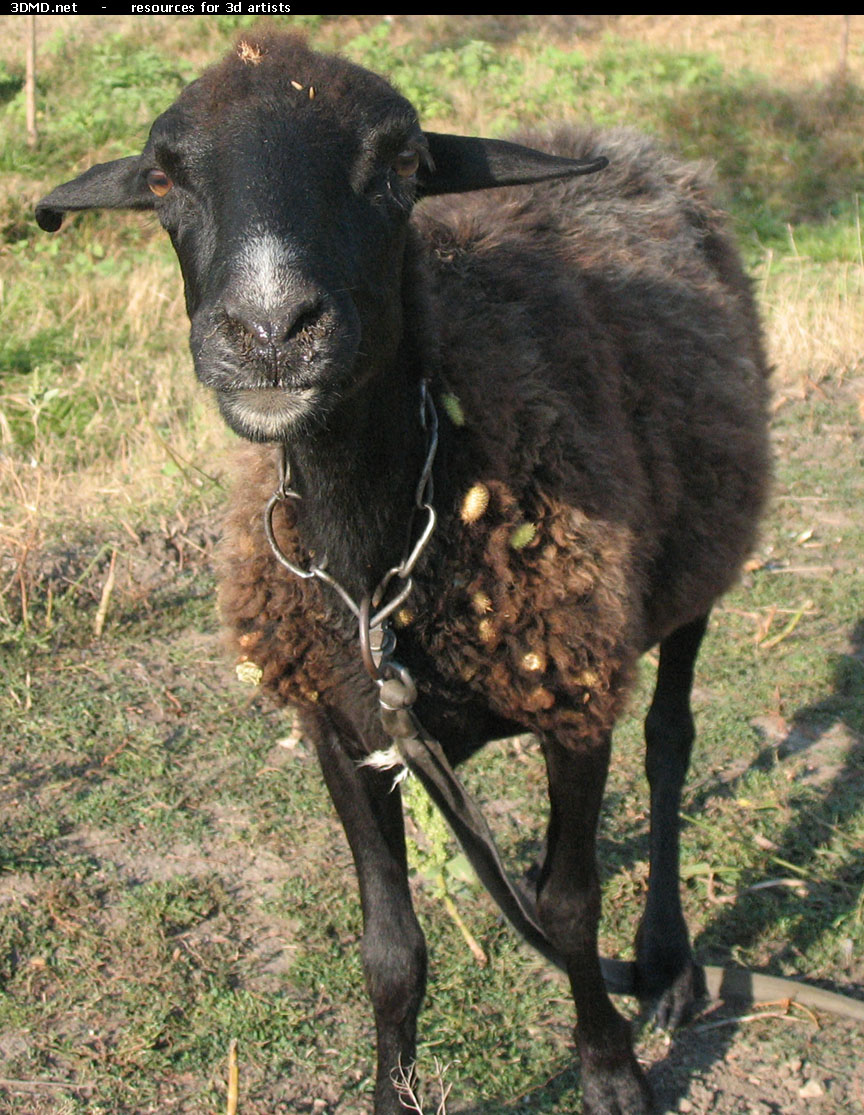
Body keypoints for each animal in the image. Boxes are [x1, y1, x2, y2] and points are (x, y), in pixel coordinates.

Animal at [37, 32, 775, 1115]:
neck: (379, 558)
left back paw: (668, 957)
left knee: (670, 742)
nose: (270, 332)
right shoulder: (340, 727)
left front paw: (609, 1069)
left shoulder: (573, 694)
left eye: (402, 163)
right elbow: (391, 950)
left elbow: (568, 905)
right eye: (164, 177)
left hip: (695, 567)